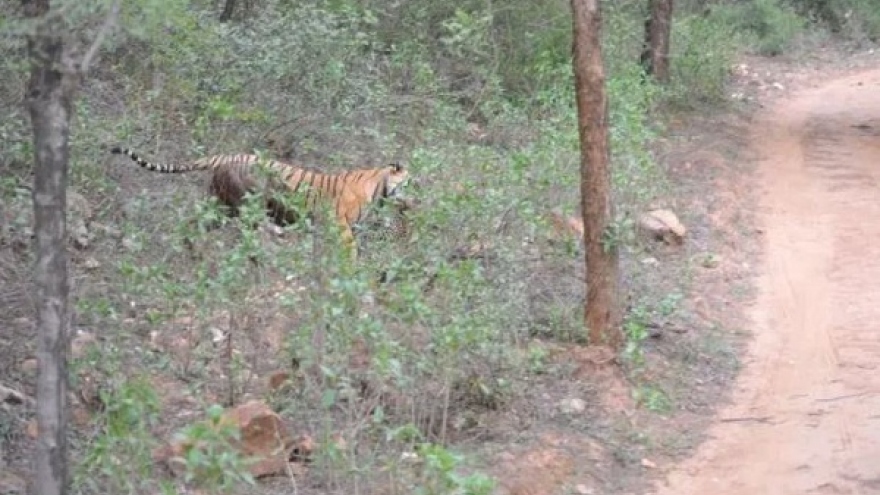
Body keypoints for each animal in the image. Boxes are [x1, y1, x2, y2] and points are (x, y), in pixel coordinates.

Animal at [111, 145, 412, 258]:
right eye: (409, 184)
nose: (413, 203)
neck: (380, 190)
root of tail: (225, 156)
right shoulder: (341, 224)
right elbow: (351, 249)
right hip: (248, 202)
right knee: (256, 228)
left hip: (219, 205)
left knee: (195, 223)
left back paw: (190, 248)